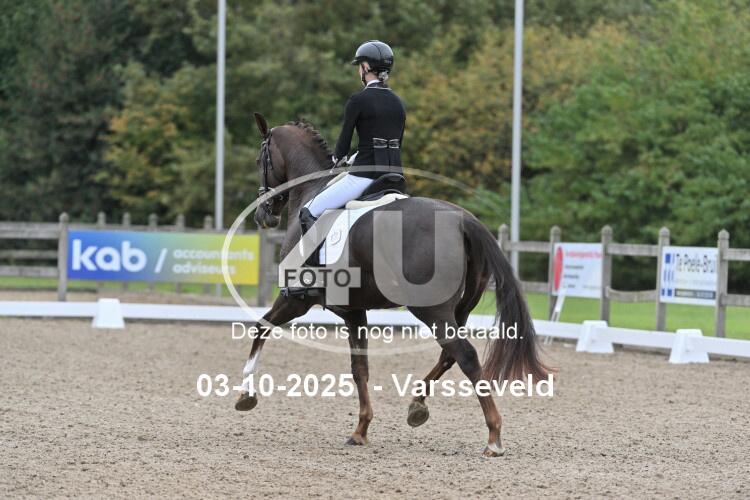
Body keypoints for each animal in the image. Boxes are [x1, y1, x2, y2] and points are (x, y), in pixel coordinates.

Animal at [235, 112, 549, 457]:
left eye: (259, 159)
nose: (263, 215)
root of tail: (463, 219)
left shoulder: (296, 299)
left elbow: (260, 328)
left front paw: (246, 395)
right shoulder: (353, 311)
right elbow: (360, 368)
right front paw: (360, 430)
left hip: (430, 309)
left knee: (465, 355)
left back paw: (493, 437)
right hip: (460, 308)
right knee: (449, 354)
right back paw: (417, 406)